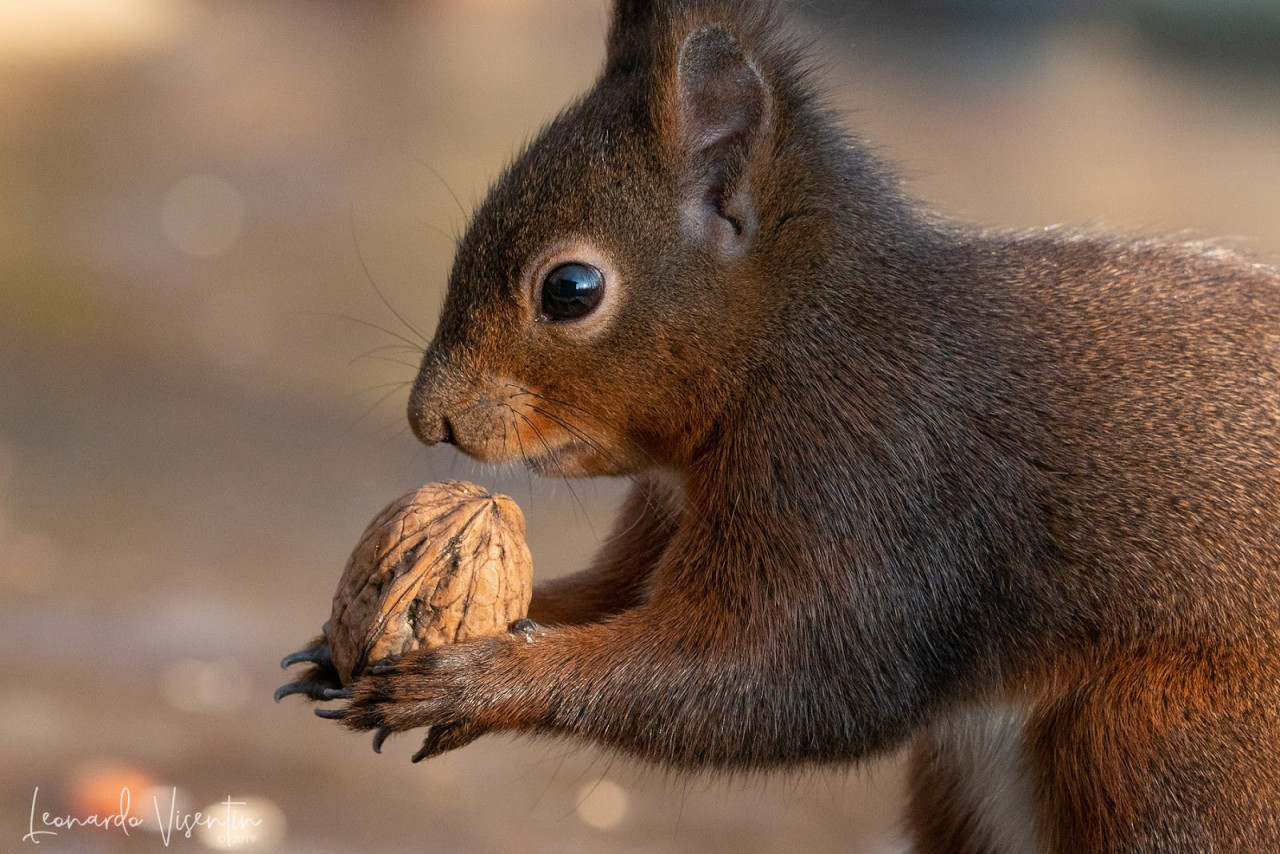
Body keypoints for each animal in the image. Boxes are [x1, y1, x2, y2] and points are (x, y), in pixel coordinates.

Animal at [280, 1, 1280, 850]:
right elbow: (606, 597)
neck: (794, 342)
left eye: (570, 289)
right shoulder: (671, 513)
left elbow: (783, 678)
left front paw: (483, 683)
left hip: (1166, 752)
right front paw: (355, 644)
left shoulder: (869, 481)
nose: (431, 418)